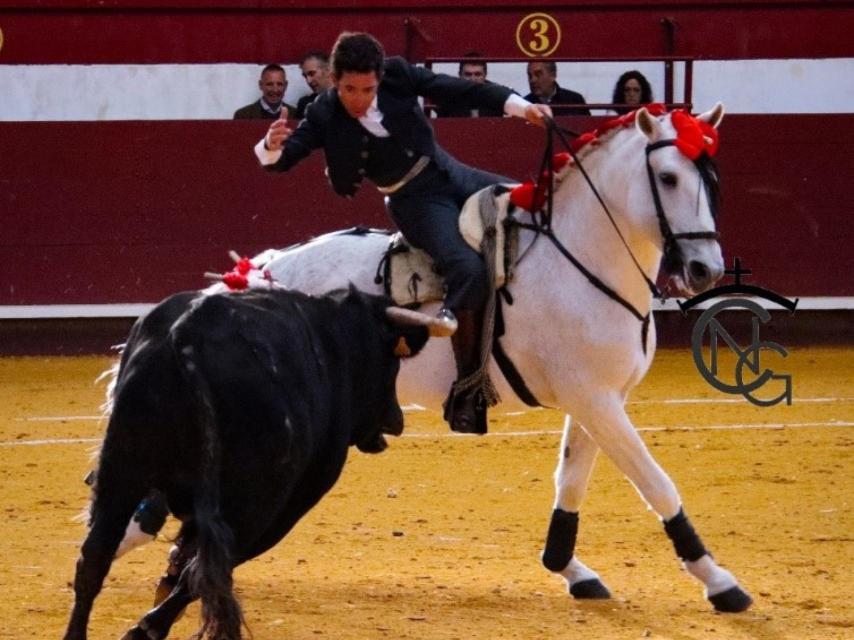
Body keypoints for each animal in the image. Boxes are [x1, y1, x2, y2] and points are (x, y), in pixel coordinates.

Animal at [65, 288, 448, 640]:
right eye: (392, 363)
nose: (397, 420)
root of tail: (187, 334)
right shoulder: (291, 505)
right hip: (253, 506)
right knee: (204, 571)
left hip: (121, 467)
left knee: (95, 557)